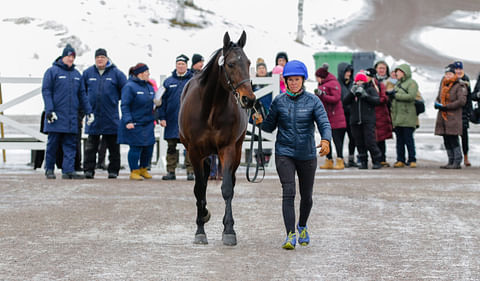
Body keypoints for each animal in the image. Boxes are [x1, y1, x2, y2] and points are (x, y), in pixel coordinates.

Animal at [179, 31, 255, 245]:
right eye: (230, 64)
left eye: (248, 63)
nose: (249, 99)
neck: (210, 109)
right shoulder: (194, 152)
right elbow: (199, 189)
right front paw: (200, 230)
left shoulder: (227, 149)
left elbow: (227, 188)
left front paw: (229, 230)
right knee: (202, 185)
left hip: (237, 150)